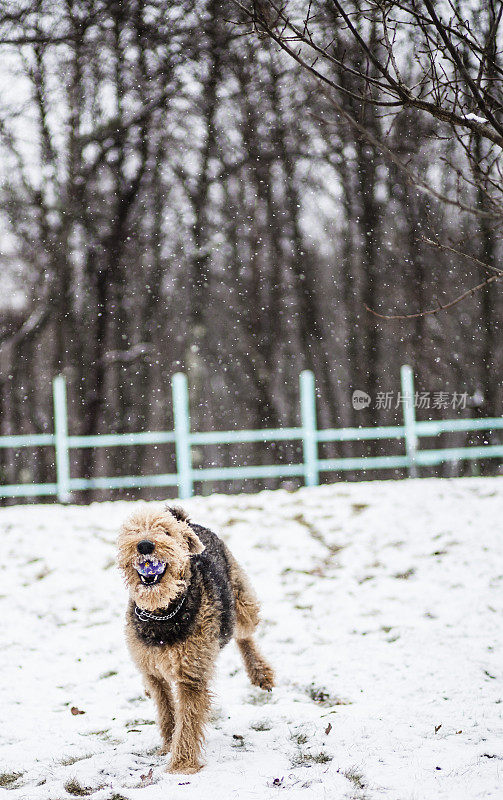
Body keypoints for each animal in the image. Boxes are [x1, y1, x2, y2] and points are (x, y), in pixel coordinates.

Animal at [117, 504, 276, 772]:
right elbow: (166, 710)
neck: (163, 614)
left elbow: (188, 722)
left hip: (242, 602)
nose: (144, 545)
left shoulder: (192, 673)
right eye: (133, 531)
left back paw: (261, 674)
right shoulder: (153, 670)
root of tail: (187, 522)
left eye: (166, 532)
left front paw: (181, 764)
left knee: (243, 635)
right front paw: (168, 746)